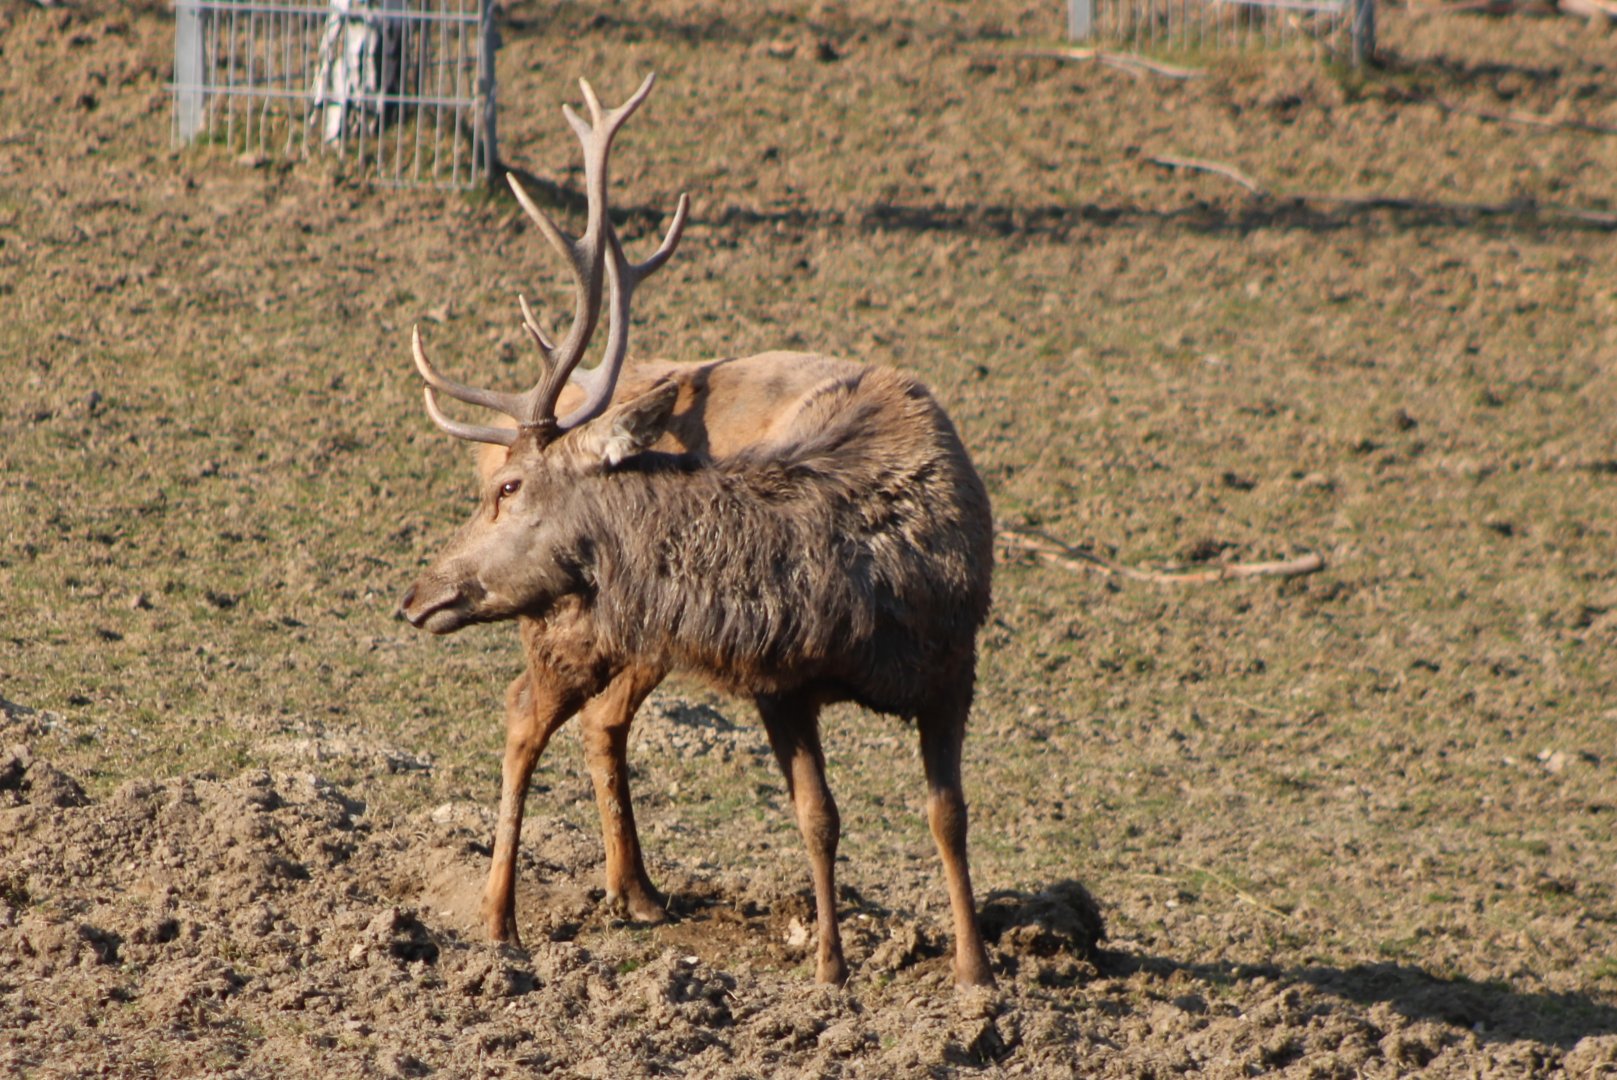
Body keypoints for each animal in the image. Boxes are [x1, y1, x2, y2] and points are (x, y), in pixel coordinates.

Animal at [398, 75, 996, 987]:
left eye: (509, 490)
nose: (416, 592)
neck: (855, 611)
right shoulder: (778, 685)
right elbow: (817, 815)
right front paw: (831, 969)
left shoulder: (952, 666)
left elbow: (947, 814)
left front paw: (973, 972)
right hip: (573, 622)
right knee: (523, 715)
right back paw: (500, 922)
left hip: (633, 631)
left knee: (600, 721)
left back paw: (636, 892)